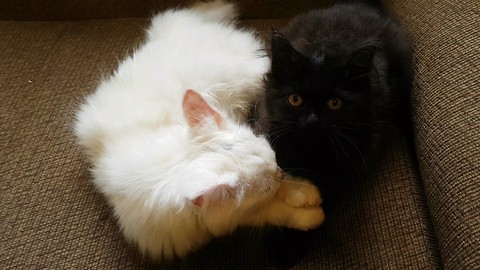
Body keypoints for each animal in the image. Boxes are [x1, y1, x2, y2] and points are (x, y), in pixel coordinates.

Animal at [75, 1, 324, 260]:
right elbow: (272, 210)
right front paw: (311, 212)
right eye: (265, 187)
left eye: (275, 160)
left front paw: (307, 193)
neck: (173, 162)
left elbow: (290, 187)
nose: (279, 174)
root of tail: (168, 33)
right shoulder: (232, 219)